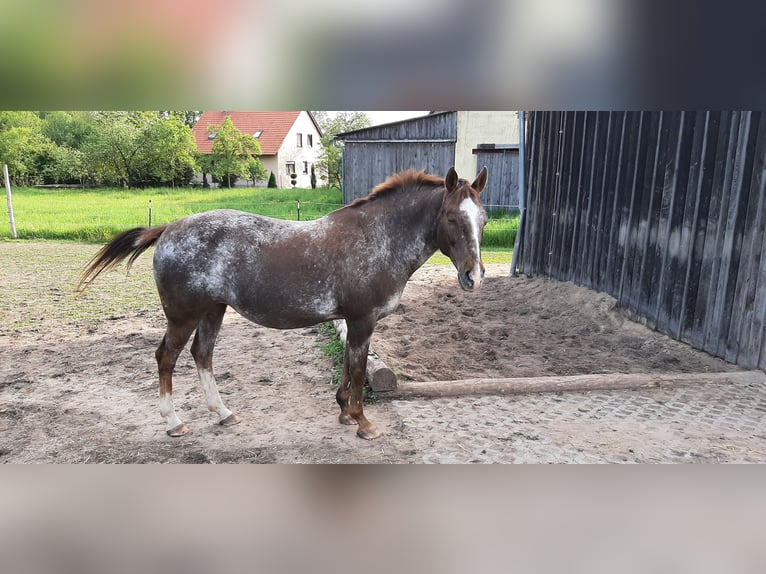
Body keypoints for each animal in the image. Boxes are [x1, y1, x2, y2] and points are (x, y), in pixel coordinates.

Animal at [76, 166, 486, 440]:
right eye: (451, 217)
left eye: (482, 219)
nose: (474, 277)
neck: (377, 238)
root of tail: (169, 228)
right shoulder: (362, 319)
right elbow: (356, 370)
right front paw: (363, 422)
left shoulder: (352, 321)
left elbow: (349, 365)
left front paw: (344, 412)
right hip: (184, 316)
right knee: (167, 358)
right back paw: (175, 423)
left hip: (213, 311)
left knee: (202, 355)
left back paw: (223, 414)